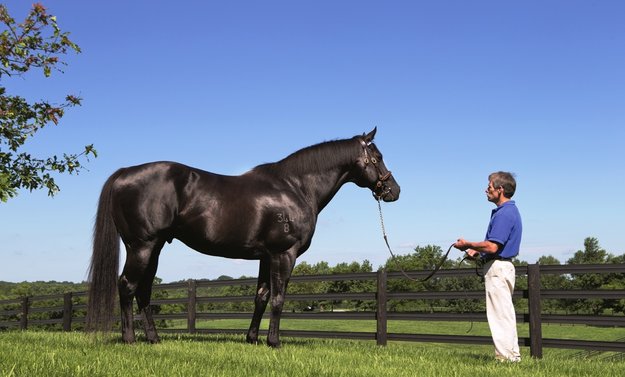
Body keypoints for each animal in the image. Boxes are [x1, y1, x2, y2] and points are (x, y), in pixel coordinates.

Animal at [85, 127, 400, 346]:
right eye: (378, 157)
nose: (394, 191)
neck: (295, 187)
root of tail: (125, 173)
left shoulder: (266, 256)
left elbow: (261, 297)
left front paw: (253, 339)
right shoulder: (284, 253)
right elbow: (278, 298)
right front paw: (274, 342)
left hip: (155, 248)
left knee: (144, 291)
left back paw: (153, 339)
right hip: (142, 245)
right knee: (127, 286)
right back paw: (129, 339)